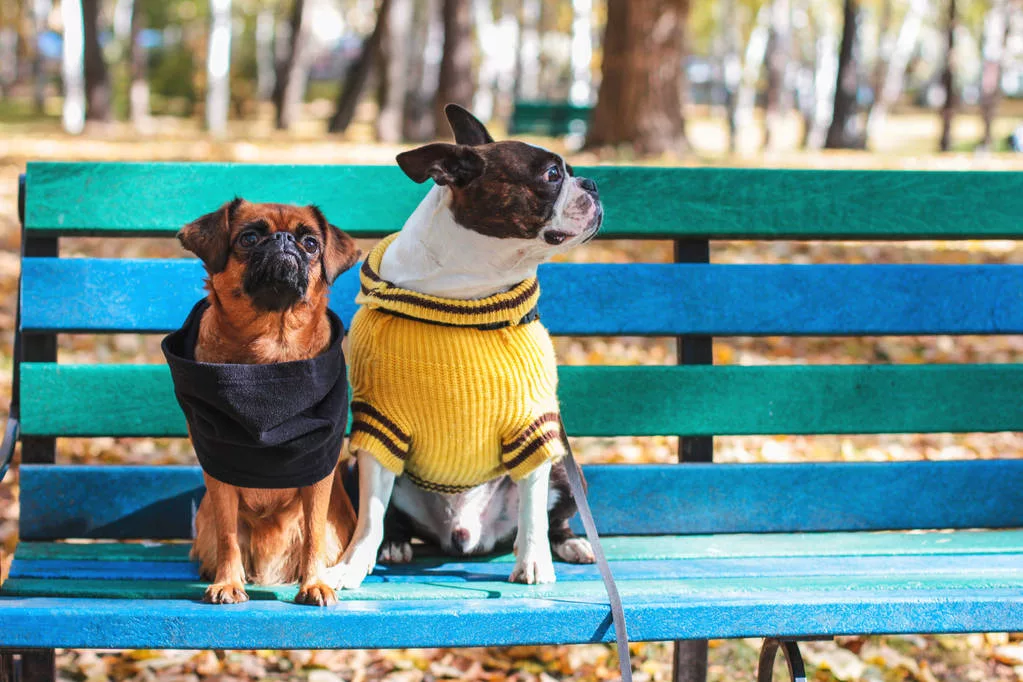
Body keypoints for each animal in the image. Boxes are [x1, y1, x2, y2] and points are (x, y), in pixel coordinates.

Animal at [179, 200, 360, 605]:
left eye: (310, 243)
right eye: (248, 238)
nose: (284, 241)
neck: (271, 350)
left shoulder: (318, 471)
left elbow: (313, 535)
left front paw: (314, 583)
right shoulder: (219, 471)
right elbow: (229, 536)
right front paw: (228, 582)